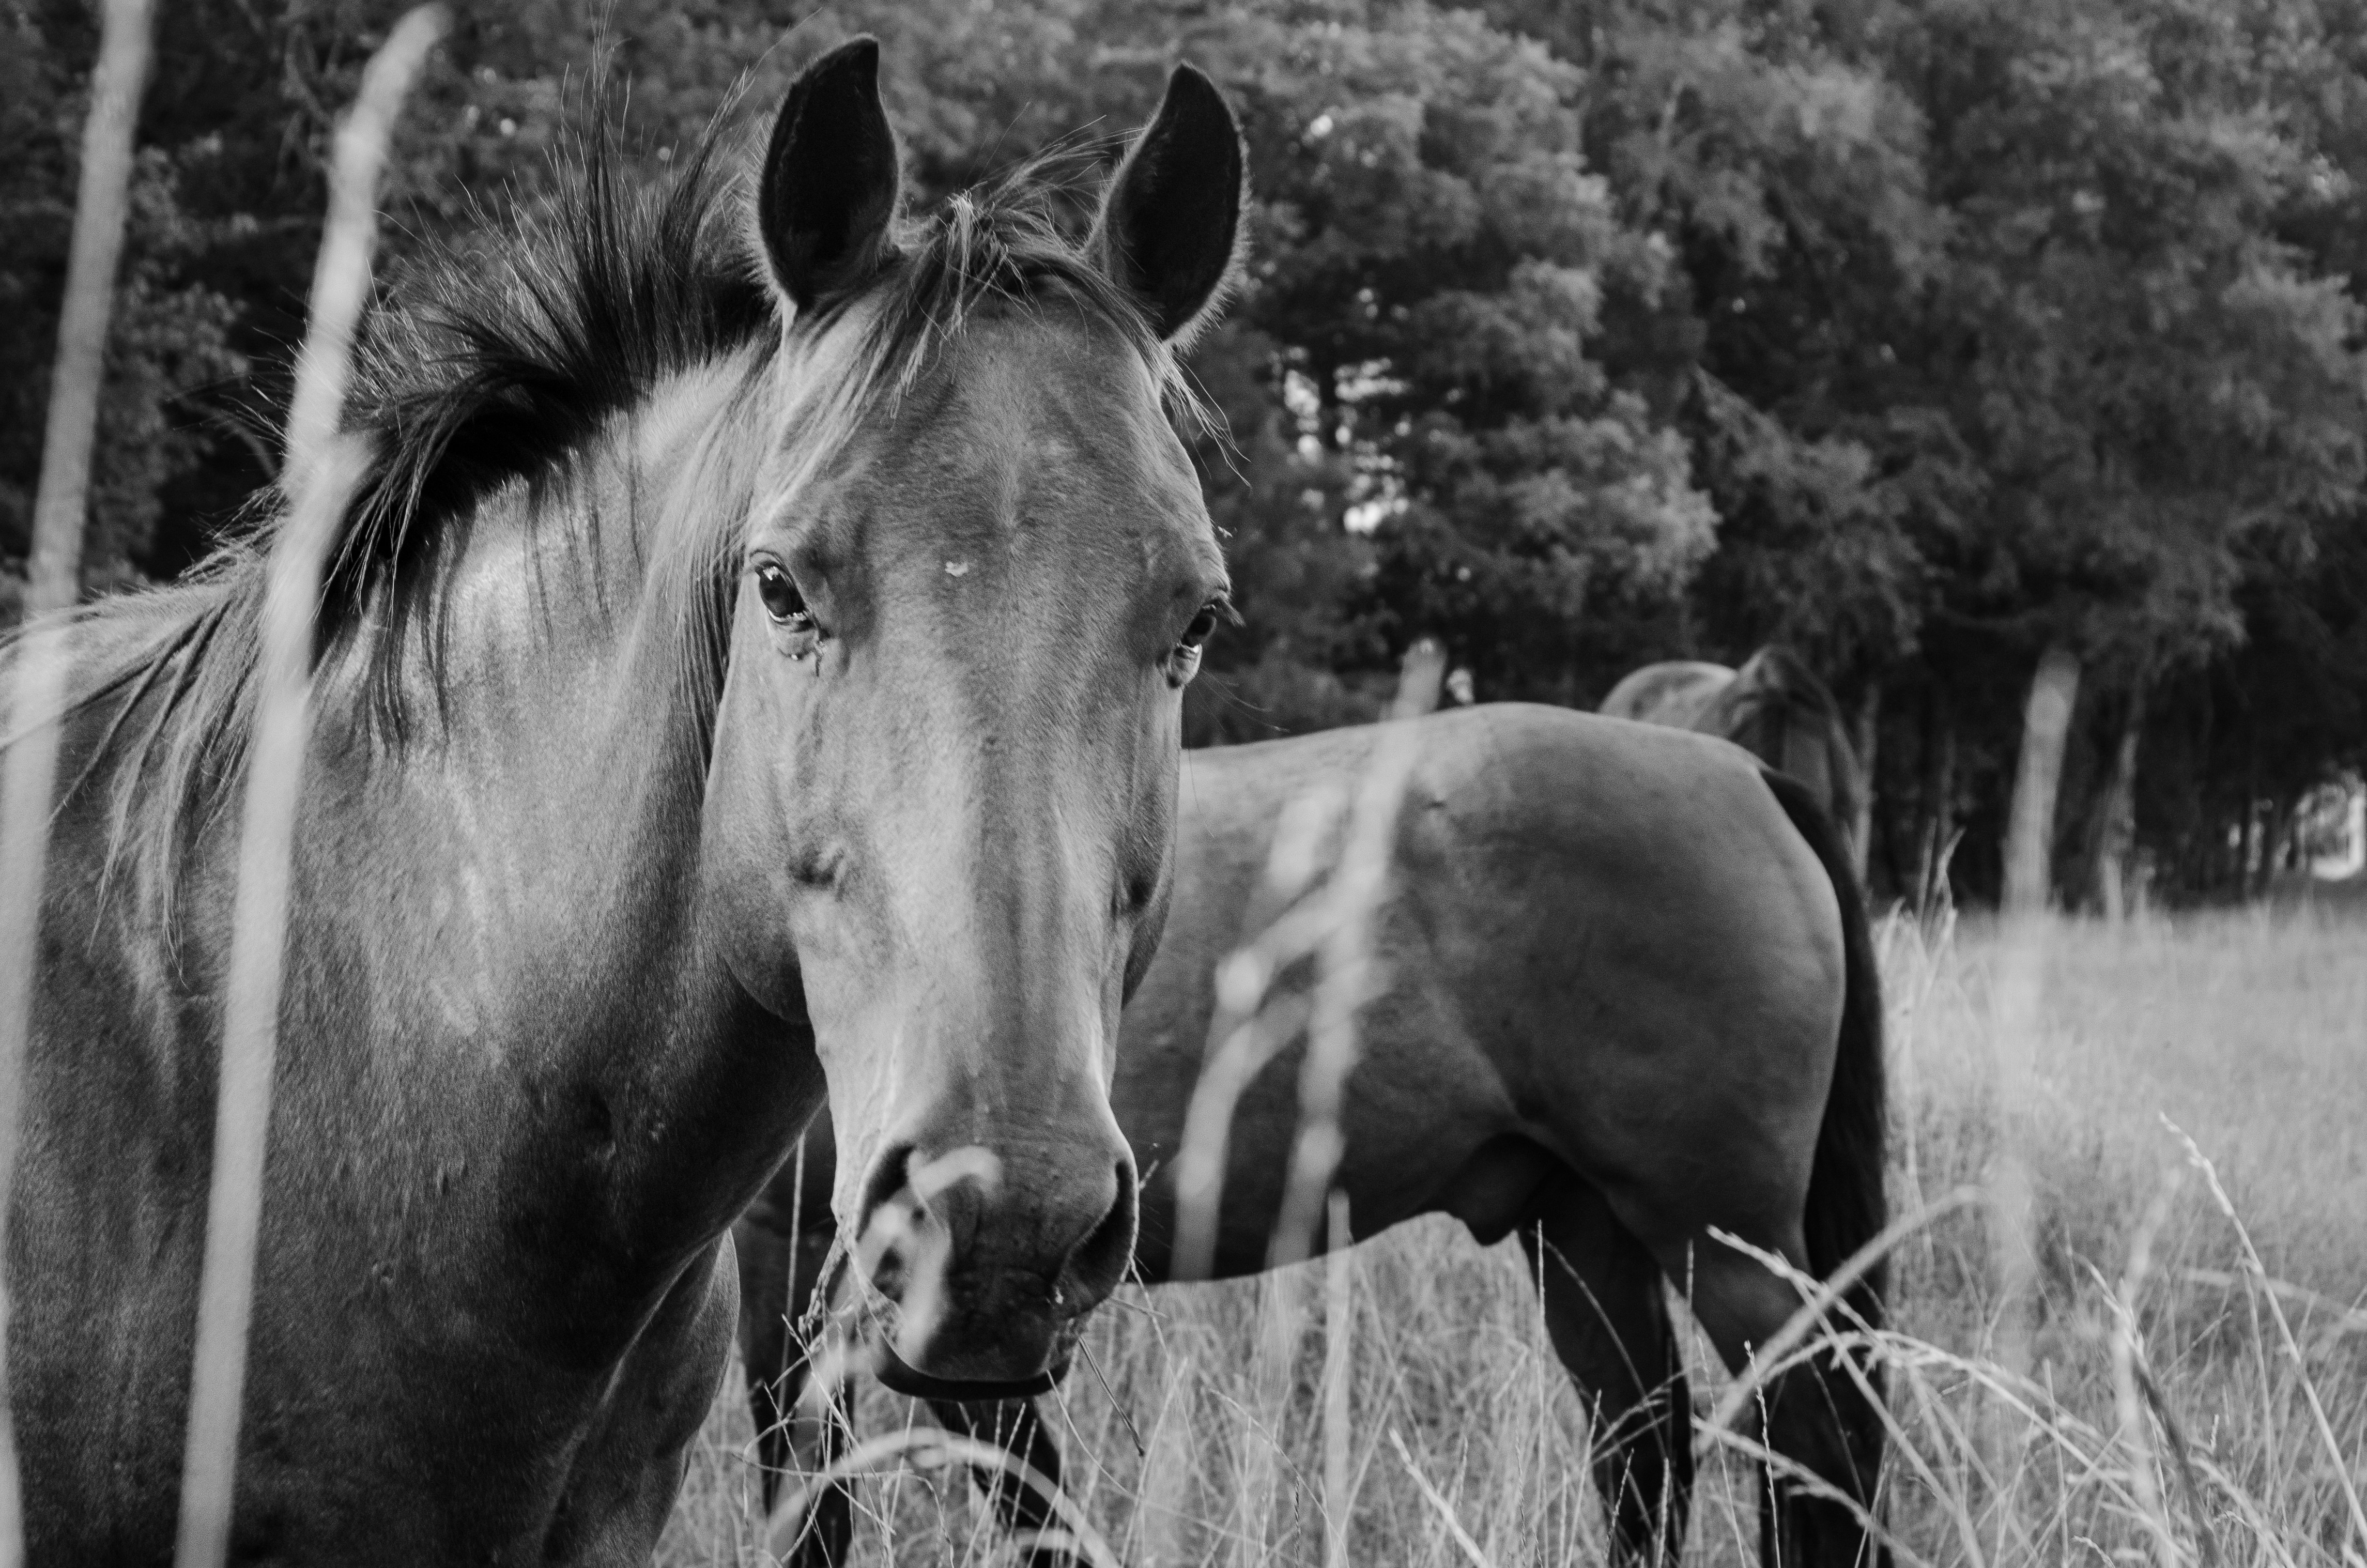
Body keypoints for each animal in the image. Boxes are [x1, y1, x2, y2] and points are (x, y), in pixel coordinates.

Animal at [738, 703, 1889, 1568]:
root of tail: (1742, 771)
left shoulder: (813, 1258)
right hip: (1582, 1226)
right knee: (1643, 1445)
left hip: (1727, 1246)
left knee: (1818, 1447)